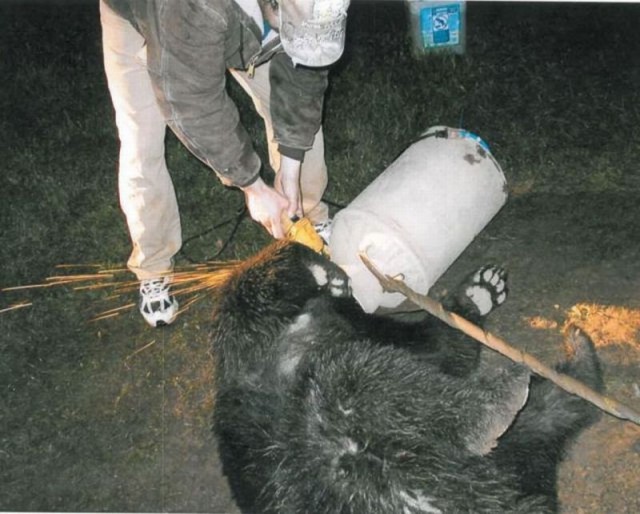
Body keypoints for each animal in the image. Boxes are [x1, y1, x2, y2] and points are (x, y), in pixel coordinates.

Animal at [211, 240, 604, 512]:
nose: (345, 280)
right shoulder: (256, 349)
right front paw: (313, 266)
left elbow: (442, 350)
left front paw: (475, 296)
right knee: (352, 378)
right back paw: (497, 405)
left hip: (506, 465)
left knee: (540, 418)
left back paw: (578, 375)